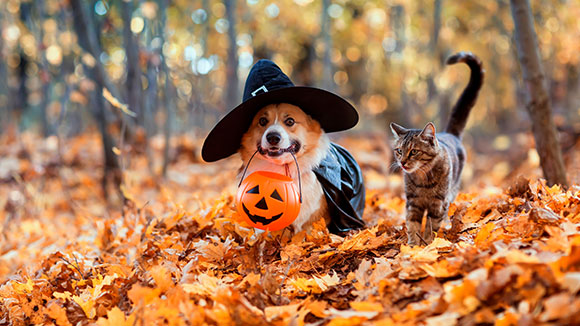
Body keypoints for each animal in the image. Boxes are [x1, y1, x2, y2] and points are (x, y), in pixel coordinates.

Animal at [392, 52, 482, 244]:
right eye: (399, 151)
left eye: (414, 151)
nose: (402, 163)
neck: (422, 179)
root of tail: (450, 133)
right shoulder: (413, 203)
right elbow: (413, 225)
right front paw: (412, 245)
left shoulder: (438, 204)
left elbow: (431, 227)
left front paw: (427, 244)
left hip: (452, 191)